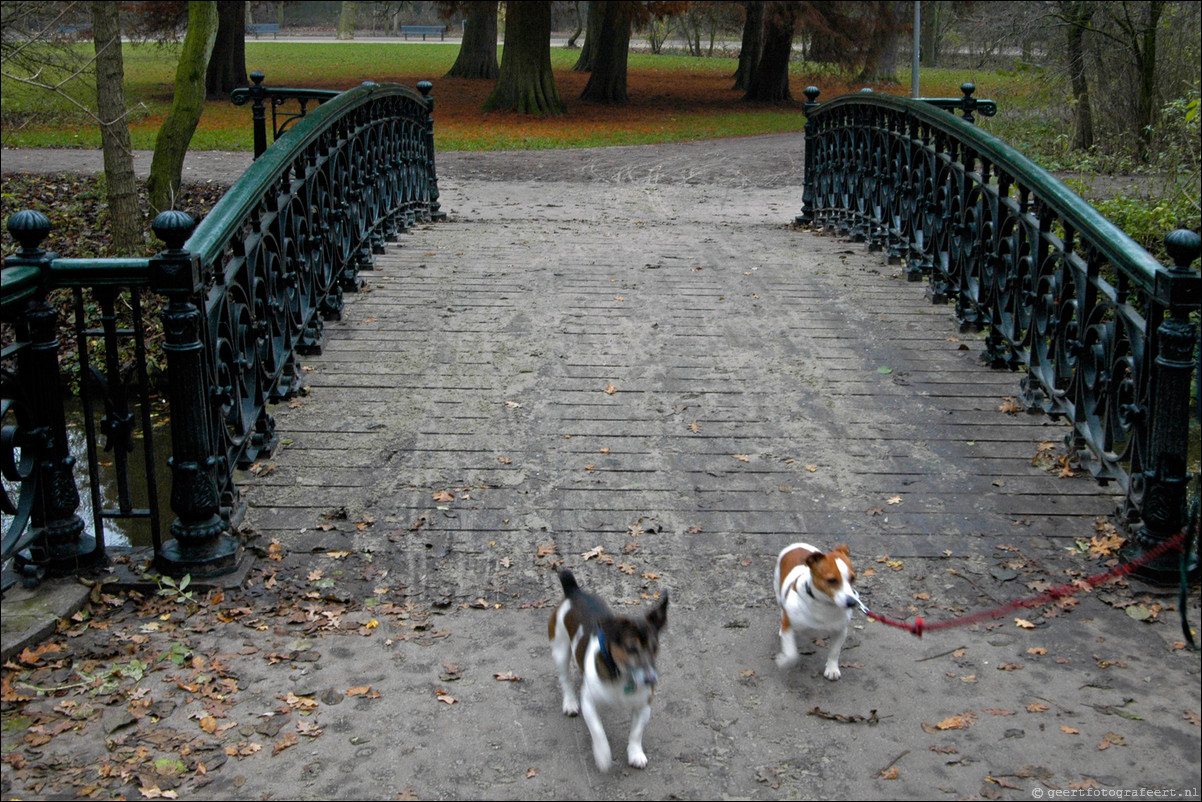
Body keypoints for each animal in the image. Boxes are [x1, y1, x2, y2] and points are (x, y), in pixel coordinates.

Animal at [548, 567, 668, 774]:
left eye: (654, 648)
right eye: (631, 648)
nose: (650, 680)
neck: (622, 676)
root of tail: (573, 592)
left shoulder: (644, 706)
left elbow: (636, 733)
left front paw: (635, 753)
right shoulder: (588, 703)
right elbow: (598, 731)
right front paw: (603, 756)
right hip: (560, 651)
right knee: (565, 680)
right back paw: (570, 702)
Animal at [774, 543, 860, 682]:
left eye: (853, 578)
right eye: (831, 580)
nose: (852, 602)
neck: (824, 605)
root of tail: (798, 544)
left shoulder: (840, 631)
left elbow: (834, 652)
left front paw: (832, 668)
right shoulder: (789, 624)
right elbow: (791, 654)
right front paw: (784, 660)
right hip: (778, 590)